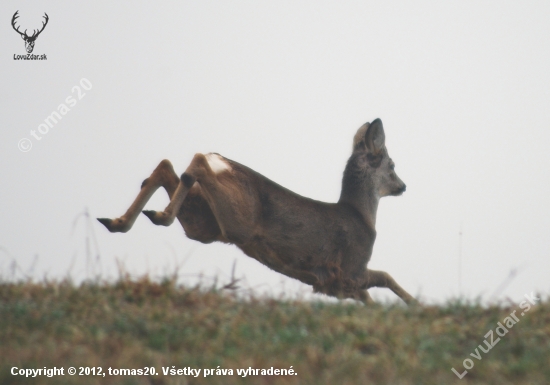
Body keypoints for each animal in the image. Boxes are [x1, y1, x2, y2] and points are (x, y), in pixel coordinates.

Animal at [98, 118, 418, 304]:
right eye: (392, 165)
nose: (403, 186)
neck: (363, 217)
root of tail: (221, 161)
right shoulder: (350, 269)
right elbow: (385, 277)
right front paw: (417, 305)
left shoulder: (341, 284)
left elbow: (371, 296)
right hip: (236, 220)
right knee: (195, 160)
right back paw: (157, 214)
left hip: (203, 223)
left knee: (166, 167)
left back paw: (119, 220)